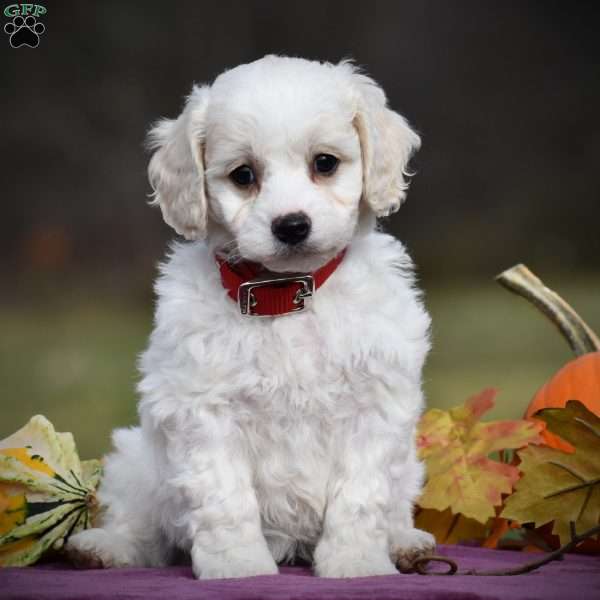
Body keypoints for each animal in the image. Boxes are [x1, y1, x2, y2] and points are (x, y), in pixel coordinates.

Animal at [68, 55, 436, 576]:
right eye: (243, 175)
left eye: (325, 163)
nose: (292, 225)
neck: (284, 294)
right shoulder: (203, 410)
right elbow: (223, 498)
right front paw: (238, 567)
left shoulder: (374, 405)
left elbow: (361, 497)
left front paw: (357, 564)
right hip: (138, 460)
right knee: (144, 530)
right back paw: (103, 548)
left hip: (409, 465)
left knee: (397, 505)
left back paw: (405, 543)